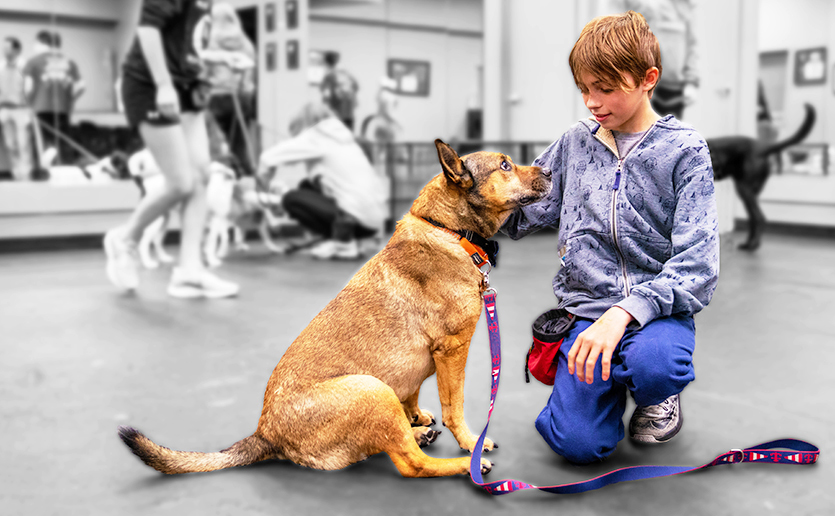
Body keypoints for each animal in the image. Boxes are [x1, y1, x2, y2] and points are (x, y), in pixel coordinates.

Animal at [114, 139, 552, 478]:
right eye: (505, 164)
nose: (549, 170)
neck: (447, 229)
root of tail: (266, 433)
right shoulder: (452, 350)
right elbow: (455, 406)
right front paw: (470, 443)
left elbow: (412, 392)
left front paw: (417, 417)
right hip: (372, 389)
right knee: (412, 464)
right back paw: (463, 466)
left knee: (395, 443)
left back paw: (416, 432)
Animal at [704, 104, 816, 251]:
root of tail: (762, 148)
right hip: (749, 191)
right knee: (753, 218)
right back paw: (749, 243)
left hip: (744, 189)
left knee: (759, 218)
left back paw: (752, 245)